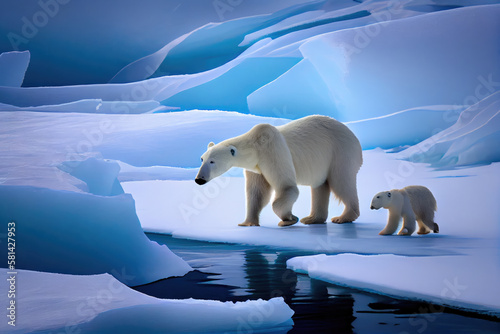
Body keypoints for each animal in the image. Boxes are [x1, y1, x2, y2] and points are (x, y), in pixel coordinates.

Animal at [193, 115, 362, 227]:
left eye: (212, 161)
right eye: (202, 159)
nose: (199, 179)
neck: (255, 145)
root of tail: (354, 137)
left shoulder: (272, 150)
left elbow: (287, 187)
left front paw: (289, 219)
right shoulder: (255, 167)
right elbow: (256, 193)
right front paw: (247, 223)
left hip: (340, 152)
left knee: (341, 182)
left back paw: (343, 217)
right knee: (320, 185)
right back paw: (312, 219)